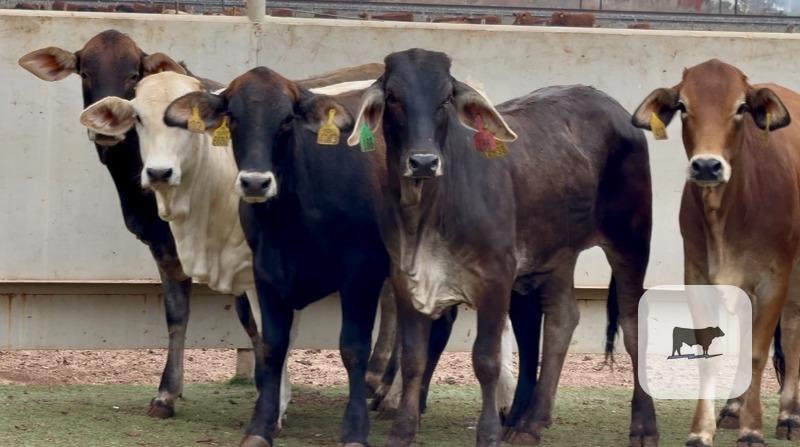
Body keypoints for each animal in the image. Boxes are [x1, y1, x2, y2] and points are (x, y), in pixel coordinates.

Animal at [340, 48, 655, 447]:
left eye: (445, 98)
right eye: (393, 96)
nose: (424, 161)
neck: (427, 213)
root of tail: (611, 105)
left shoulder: (495, 281)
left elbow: (485, 361)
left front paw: (488, 433)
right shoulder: (406, 281)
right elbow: (413, 359)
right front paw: (401, 431)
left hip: (630, 240)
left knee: (632, 326)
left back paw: (644, 426)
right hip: (558, 253)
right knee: (562, 320)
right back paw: (531, 423)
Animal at [632, 59, 800, 446]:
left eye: (740, 107)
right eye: (683, 106)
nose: (707, 166)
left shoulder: (774, 280)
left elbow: (757, 353)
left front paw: (753, 430)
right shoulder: (698, 278)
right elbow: (709, 355)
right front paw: (701, 430)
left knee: (793, 330)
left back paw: (788, 415)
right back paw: (733, 408)